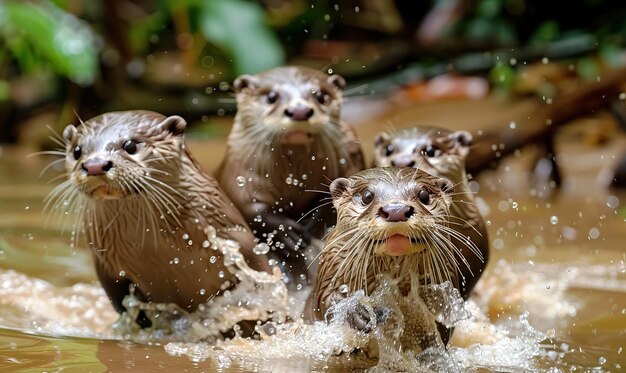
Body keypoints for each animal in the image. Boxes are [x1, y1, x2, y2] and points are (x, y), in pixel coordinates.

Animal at [44, 110, 268, 326]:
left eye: (130, 145)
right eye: (77, 150)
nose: (95, 165)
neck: (158, 249)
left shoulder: (239, 239)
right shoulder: (105, 266)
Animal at [217, 65, 364, 280]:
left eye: (320, 95)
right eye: (271, 96)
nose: (299, 111)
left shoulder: (351, 158)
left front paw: (312, 222)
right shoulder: (239, 174)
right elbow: (247, 208)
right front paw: (285, 235)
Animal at [304, 168, 476, 346]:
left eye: (424, 195)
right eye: (367, 196)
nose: (396, 210)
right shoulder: (331, 270)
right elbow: (326, 301)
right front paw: (357, 311)